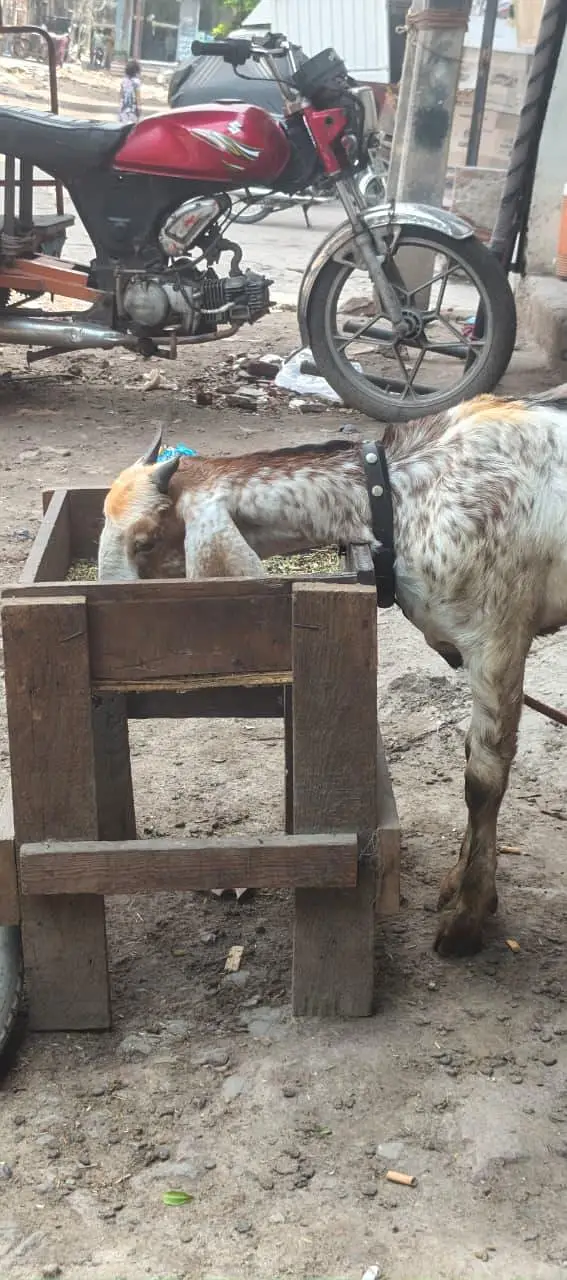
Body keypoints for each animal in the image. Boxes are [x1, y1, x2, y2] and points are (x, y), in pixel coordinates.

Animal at [98, 387, 567, 957]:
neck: (400, 494)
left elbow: (483, 777)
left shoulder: (498, 639)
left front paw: (467, 918)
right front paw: (460, 884)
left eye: (144, 540)